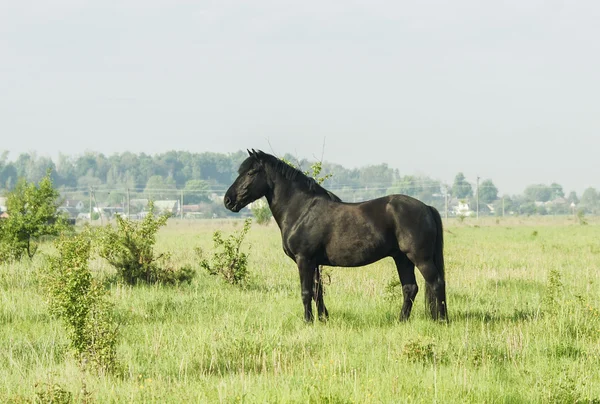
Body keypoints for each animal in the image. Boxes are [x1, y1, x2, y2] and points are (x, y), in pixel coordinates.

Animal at [224, 148, 446, 322]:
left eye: (251, 172)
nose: (228, 200)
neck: (301, 210)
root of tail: (426, 207)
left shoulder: (304, 260)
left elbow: (306, 292)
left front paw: (307, 321)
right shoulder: (314, 263)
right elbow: (318, 292)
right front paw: (323, 319)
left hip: (420, 258)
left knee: (436, 283)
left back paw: (442, 320)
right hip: (402, 258)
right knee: (410, 288)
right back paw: (401, 320)